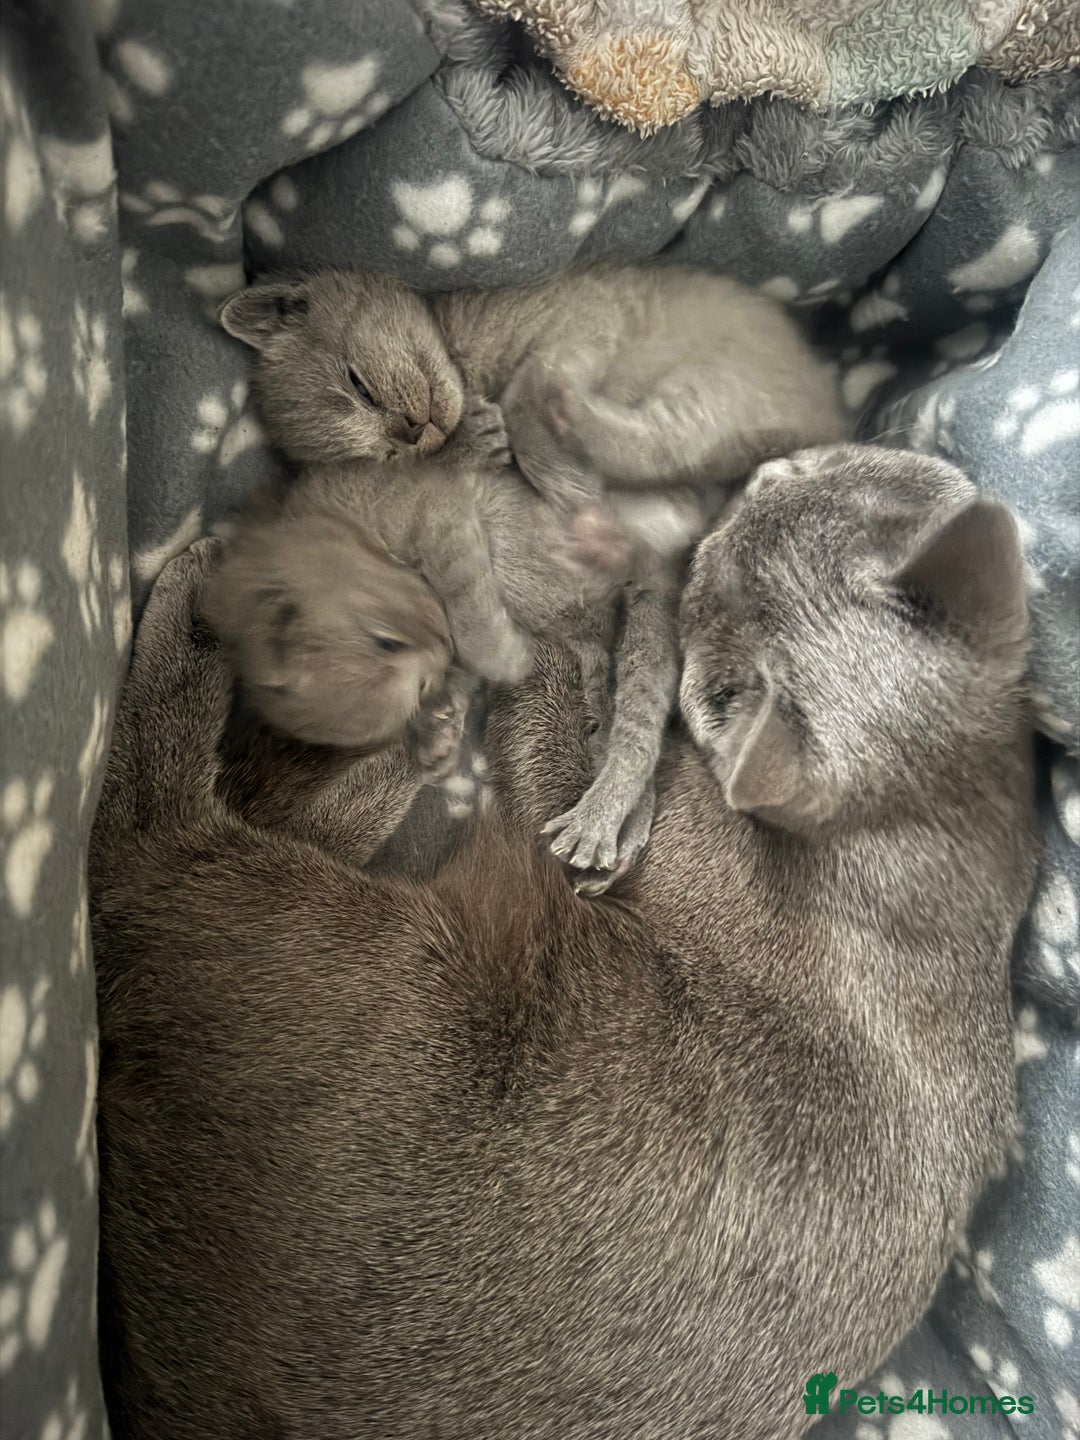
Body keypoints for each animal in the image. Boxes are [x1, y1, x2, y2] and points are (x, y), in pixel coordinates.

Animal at [91, 443, 1037, 1440]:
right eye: (805, 480)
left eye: (710, 595)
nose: (747, 488)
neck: (917, 844)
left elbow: (558, 743)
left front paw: (526, 649)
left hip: (353, 955)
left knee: (144, 840)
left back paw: (224, 612)